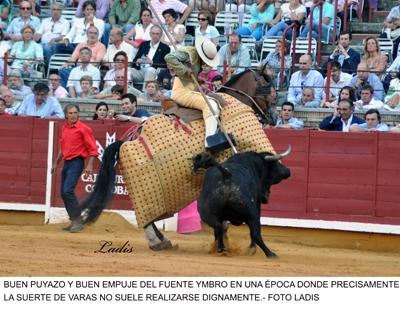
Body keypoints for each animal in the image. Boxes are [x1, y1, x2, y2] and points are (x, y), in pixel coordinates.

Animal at [77, 67, 278, 250]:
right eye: (269, 88)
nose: (273, 118)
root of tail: (124, 142)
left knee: (149, 215)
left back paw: (162, 240)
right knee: (145, 216)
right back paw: (156, 241)